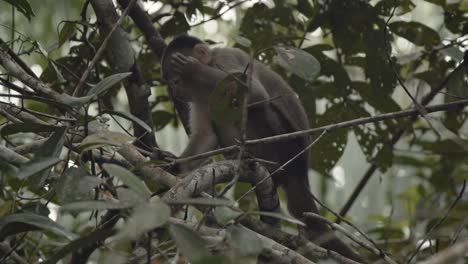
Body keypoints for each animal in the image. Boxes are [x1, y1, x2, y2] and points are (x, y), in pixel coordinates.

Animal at [162, 34, 366, 262]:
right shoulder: (200, 97)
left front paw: (192, 69)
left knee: (255, 107)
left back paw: (265, 165)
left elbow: (255, 94)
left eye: (176, 79)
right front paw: (174, 166)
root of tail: (300, 170)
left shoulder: (225, 59)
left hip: (287, 147)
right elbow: (206, 136)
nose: (175, 89)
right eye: (171, 81)